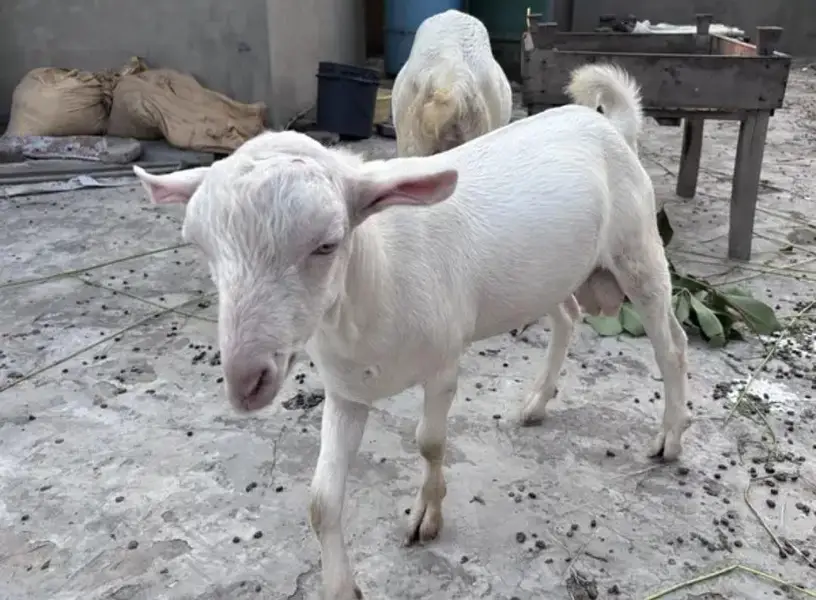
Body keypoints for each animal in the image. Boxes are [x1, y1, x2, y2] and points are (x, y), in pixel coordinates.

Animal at [133, 63, 691, 600]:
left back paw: (668, 437)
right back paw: (535, 403)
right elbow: (320, 501)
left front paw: (428, 517)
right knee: (569, 316)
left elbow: (429, 443)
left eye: (327, 244)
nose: (245, 381)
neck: (377, 278)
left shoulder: (443, 363)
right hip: (551, 273)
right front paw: (341, 586)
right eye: (201, 246)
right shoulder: (345, 391)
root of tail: (610, 124)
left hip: (637, 247)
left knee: (672, 344)